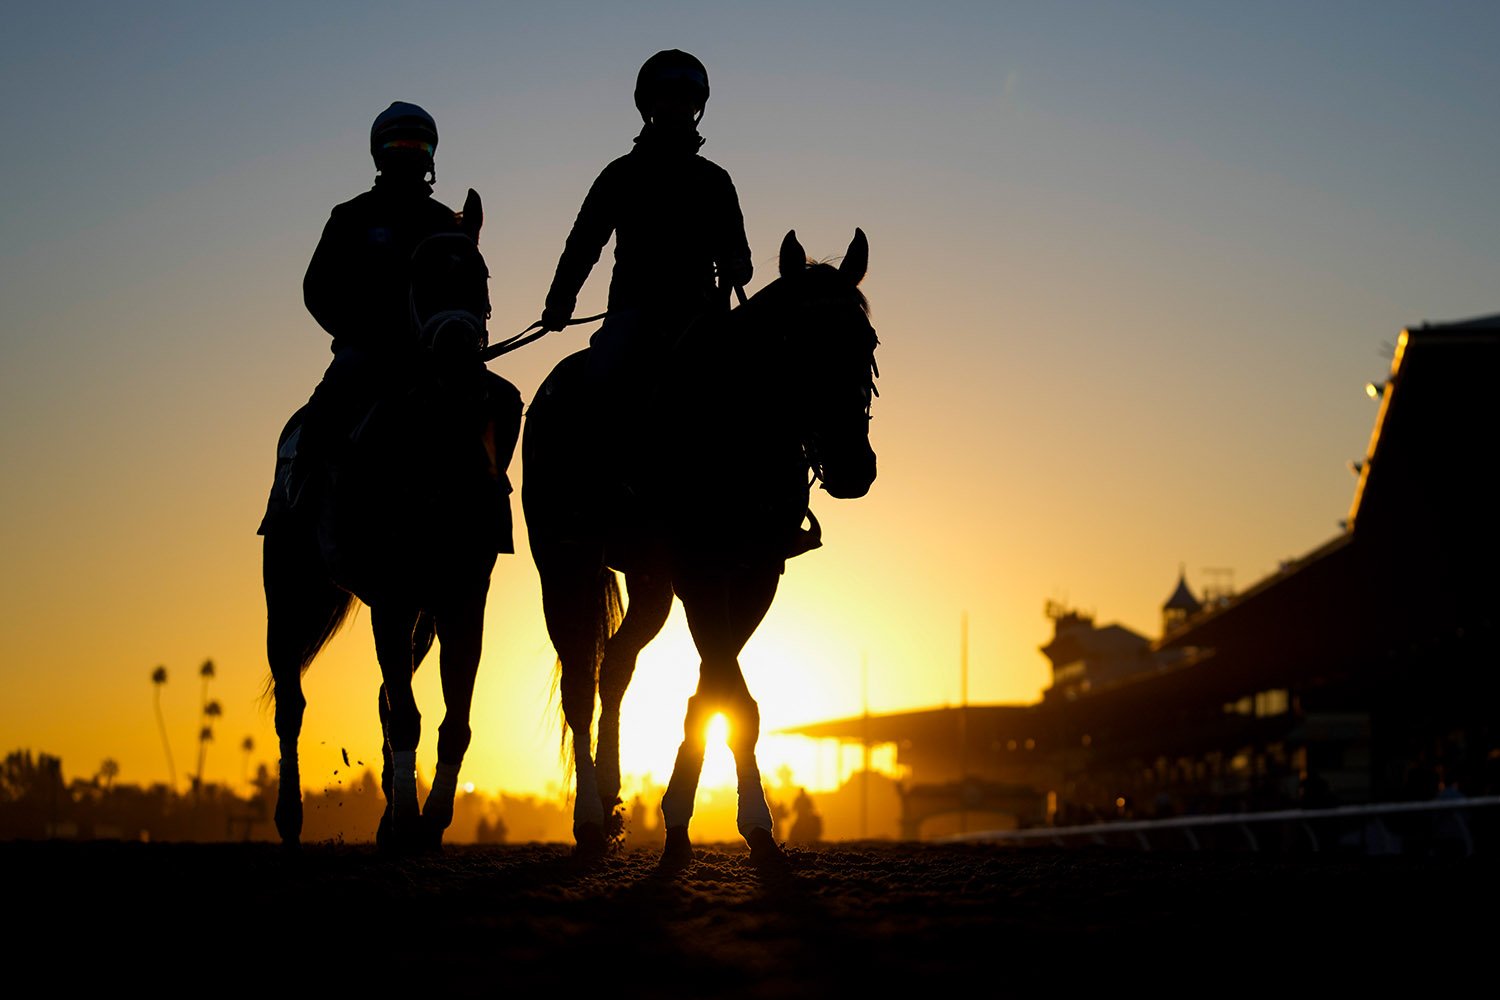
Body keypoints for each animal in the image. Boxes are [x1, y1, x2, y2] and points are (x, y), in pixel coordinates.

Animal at [253, 203, 522, 851]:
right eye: (419, 273)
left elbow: (452, 720)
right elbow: (406, 715)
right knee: (292, 704)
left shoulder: (459, 599)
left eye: (480, 272)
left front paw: (427, 822)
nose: (457, 352)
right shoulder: (393, 599)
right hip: (288, 593)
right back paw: (290, 820)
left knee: (381, 699)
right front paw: (405, 822)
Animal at [525, 230, 876, 863]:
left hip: (650, 586)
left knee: (615, 668)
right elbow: (730, 695)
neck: (737, 425)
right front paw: (740, 818)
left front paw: (695, 813)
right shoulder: (699, 574)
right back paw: (587, 817)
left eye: (867, 341)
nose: (853, 467)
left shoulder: (755, 577)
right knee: (579, 685)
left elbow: (719, 692)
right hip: (564, 565)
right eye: (794, 343)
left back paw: (611, 799)